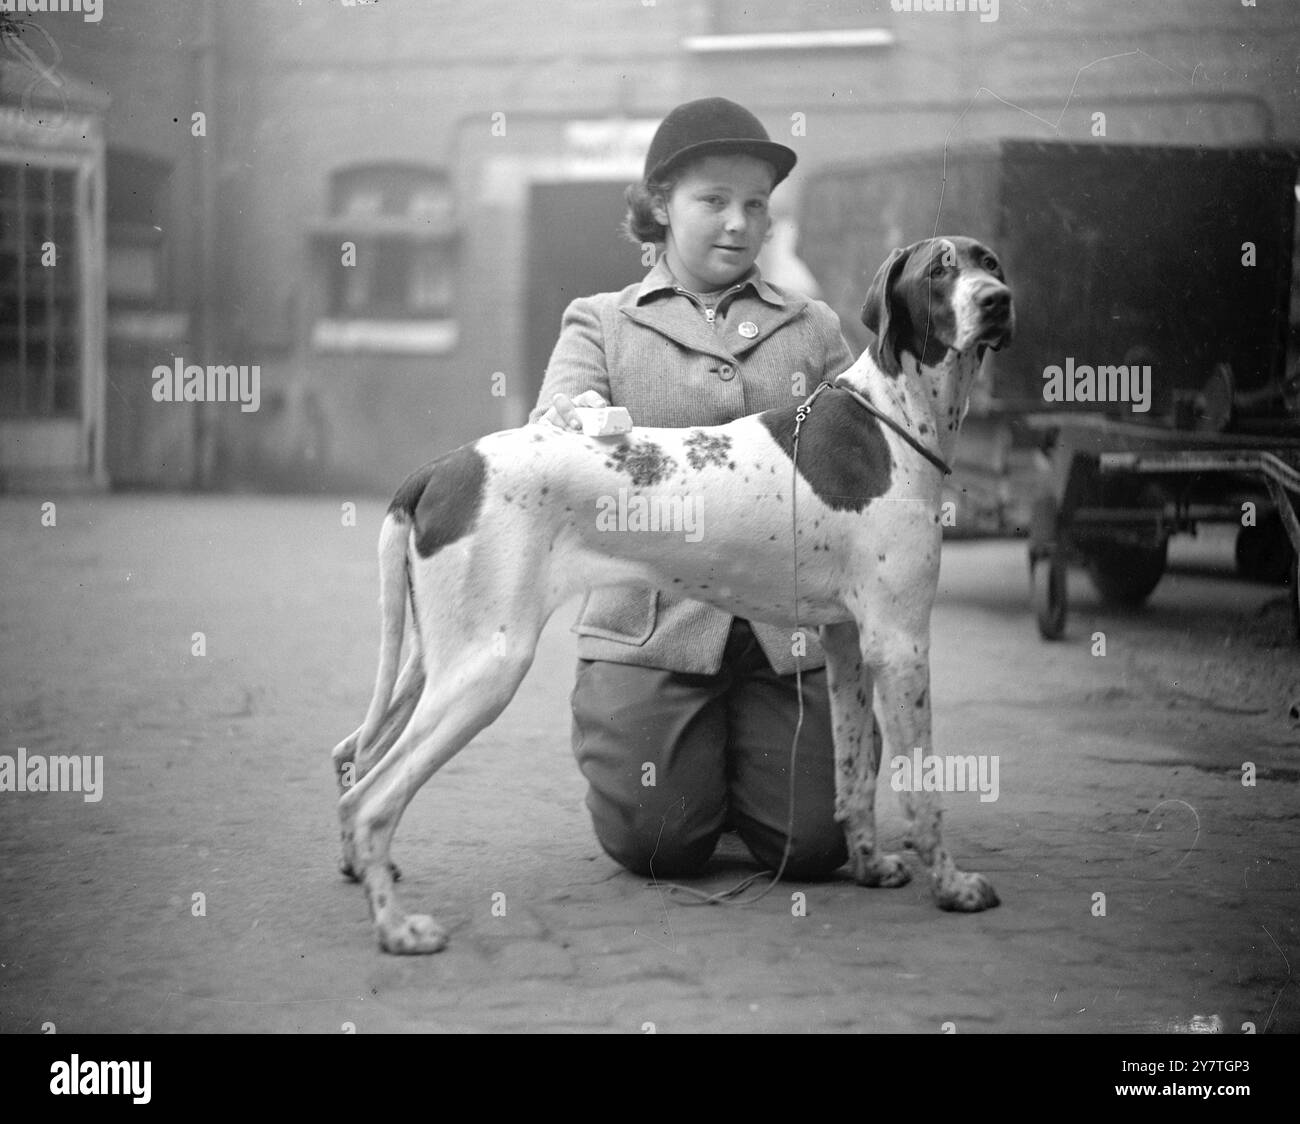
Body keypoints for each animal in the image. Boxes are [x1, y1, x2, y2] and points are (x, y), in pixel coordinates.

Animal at [330, 239, 1008, 956]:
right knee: (372, 799)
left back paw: (364, 872)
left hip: (435, 661)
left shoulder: (850, 645)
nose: (998, 301)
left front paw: (870, 866)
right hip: (487, 666)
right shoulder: (900, 644)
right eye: (939, 270)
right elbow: (923, 789)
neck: (894, 418)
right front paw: (953, 886)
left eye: (989, 262)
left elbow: (854, 775)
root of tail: (440, 468)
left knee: (354, 762)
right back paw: (398, 928)